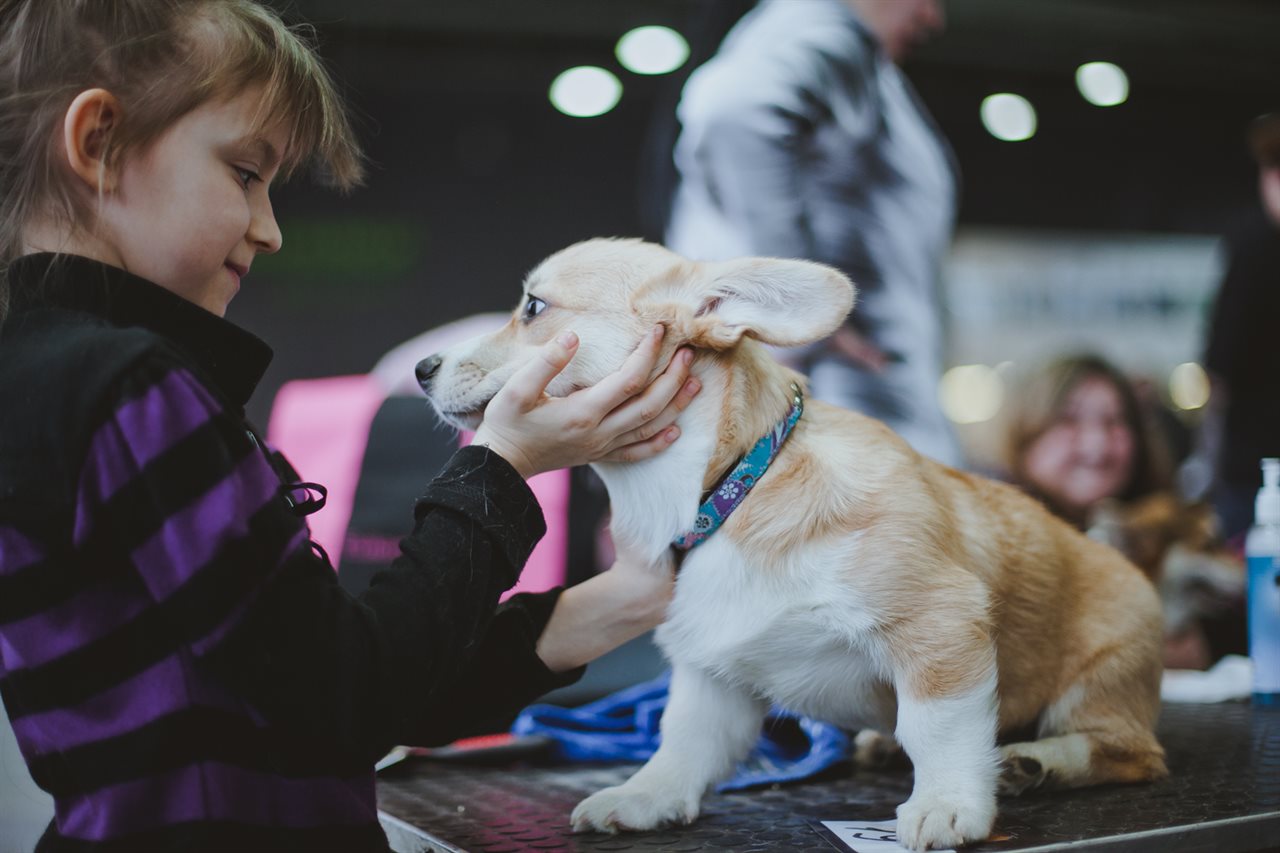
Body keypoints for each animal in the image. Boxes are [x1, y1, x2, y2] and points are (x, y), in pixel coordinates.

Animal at [414, 235, 1167, 845]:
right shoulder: (710, 673)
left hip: (1101, 677)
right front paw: (645, 796)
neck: (728, 488)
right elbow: (681, 743)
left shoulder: (939, 626)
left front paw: (951, 803)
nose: (421, 368)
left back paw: (1033, 762)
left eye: (534, 307)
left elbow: (939, 726)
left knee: (1127, 751)